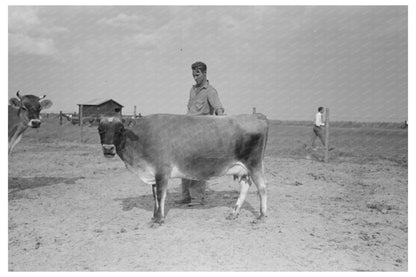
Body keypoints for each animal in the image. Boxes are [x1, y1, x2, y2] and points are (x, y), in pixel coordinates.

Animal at [98, 112, 270, 224]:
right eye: (100, 129)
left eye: (120, 129)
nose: (108, 149)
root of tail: (255, 116)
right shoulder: (153, 174)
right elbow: (154, 196)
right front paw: (154, 216)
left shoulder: (162, 171)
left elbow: (160, 195)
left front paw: (159, 219)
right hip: (242, 169)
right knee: (245, 187)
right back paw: (234, 213)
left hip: (254, 164)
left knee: (262, 187)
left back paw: (261, 216)